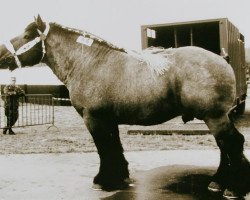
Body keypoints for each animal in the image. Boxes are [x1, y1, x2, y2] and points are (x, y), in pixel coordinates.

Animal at [0, 15, 250, 198]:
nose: (2, 55)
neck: (90, 62)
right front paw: (121, 177)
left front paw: (103, 180)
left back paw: (233, 187)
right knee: (224, 146)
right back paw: (218, 182)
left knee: (233, 143)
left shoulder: (94, 119)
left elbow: (104, 149)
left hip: (214, 116)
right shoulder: (109, 120)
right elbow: (115, 147)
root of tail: (222, 59)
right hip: (217, 116)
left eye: (26, 35)